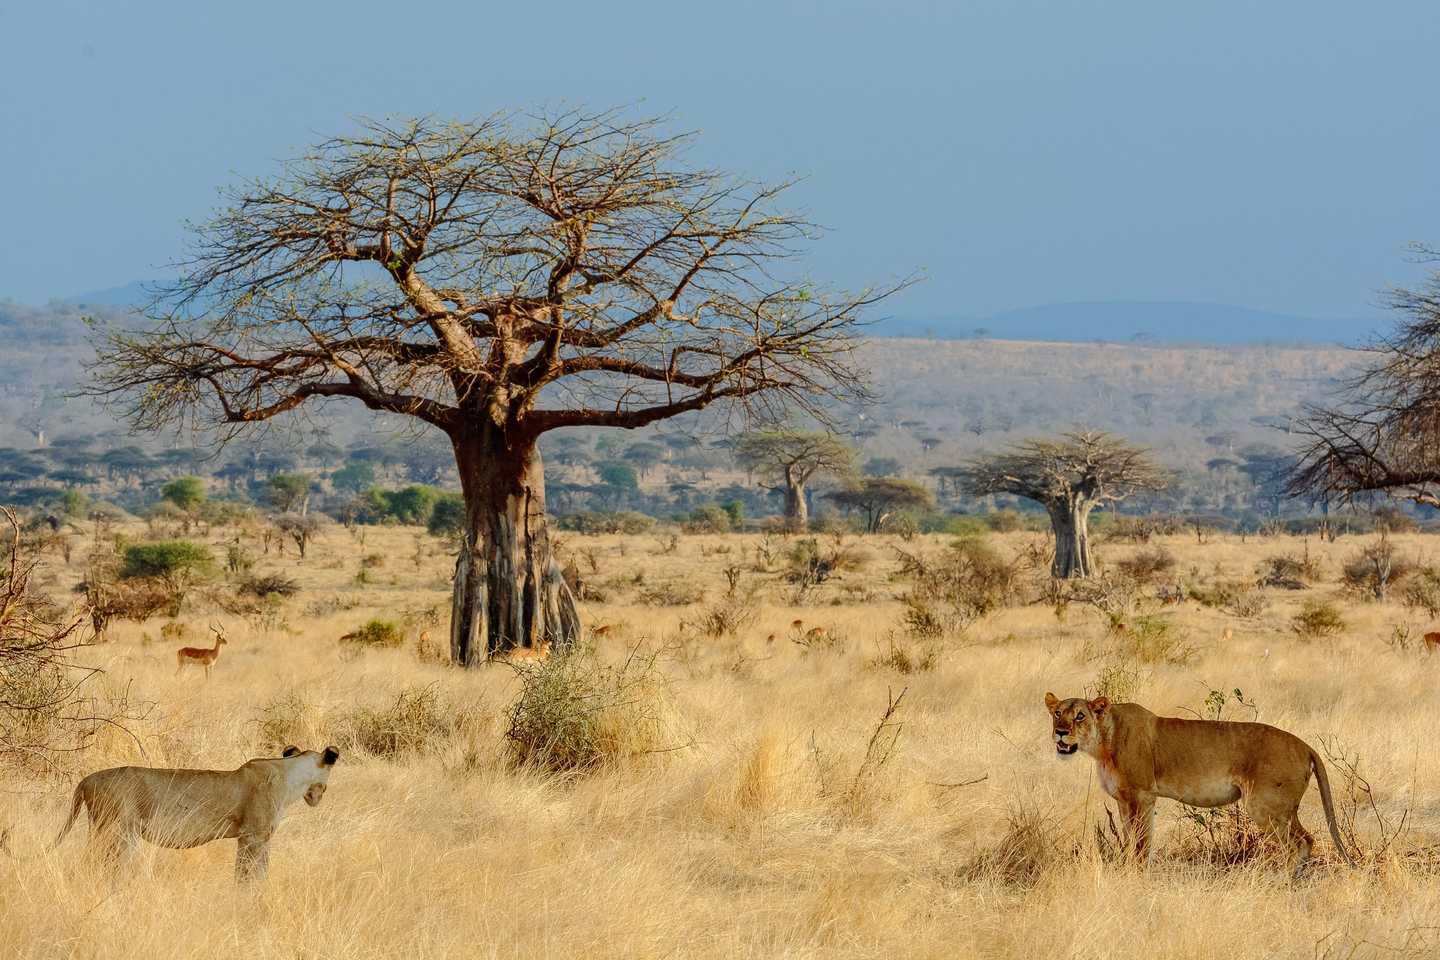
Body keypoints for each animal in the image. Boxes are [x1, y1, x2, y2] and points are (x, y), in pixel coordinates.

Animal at [53, 745, 340, 882]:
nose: (319, 796)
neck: (291, 775)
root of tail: (86, 780)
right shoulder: (253, 837)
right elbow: (249, 873)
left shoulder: (255, 838)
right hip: (118, 833)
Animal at [1044, 693, 1355, 874]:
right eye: (1058, 713)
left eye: (1080, 715)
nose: (1060, 732)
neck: (1102, 743)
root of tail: (1306, 746)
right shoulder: (1123, 800)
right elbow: (1130, 837)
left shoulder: (1142, 795)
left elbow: (1142, 841)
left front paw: (1137, 873)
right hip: (1280, 809)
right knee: (1306, 840)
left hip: (1265, 806)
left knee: (1299, 842)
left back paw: (1279, 881)